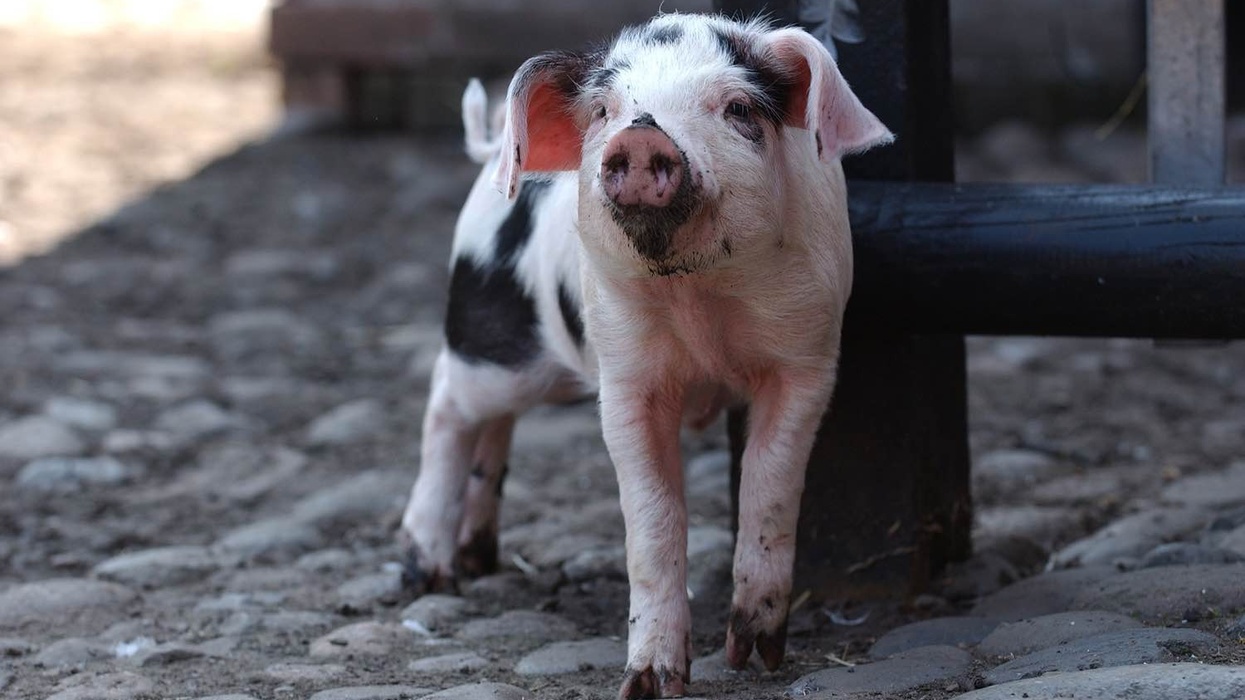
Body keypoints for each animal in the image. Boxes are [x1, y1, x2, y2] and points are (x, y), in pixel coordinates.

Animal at [399, 13, 892, 699]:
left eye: (738, 108)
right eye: (604, 110)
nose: (640, 136)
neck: (699, 300)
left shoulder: (807, 357)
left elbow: (771, 483)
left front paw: (755, 655)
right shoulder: (625, 377)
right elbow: (654, 519)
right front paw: (649, 684)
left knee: (489, 429)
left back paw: (478, 557)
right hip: (490, 342)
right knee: (447, 399)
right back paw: (429, 574)